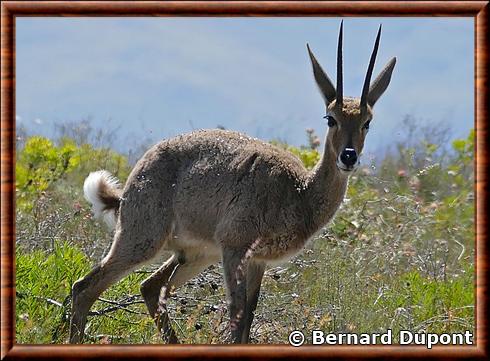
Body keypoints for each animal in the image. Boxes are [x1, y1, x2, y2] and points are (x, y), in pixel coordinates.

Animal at [70, 22, 398, 344]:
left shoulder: (257, 261)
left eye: (367, 122)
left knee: (149, 287)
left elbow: (246, 324)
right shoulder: (235, 249)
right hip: (143, 240)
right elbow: (236, 320)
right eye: (330, 118)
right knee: (85, 286)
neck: (298, 191)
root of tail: (133, 179)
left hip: (195, 254)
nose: (348, 156)